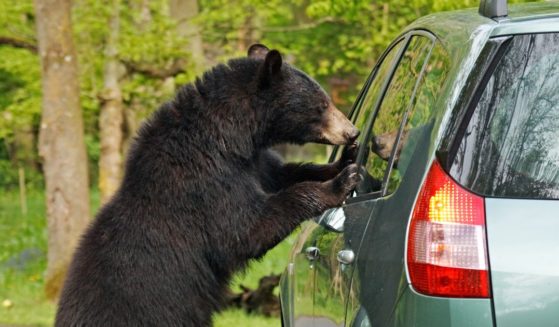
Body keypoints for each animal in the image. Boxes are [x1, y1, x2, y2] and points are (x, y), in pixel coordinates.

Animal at [57, 44, 360, 327]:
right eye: (322, 104)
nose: (352, 132)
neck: (230, 135)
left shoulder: (253, 162)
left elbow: (283, 173)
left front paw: (344, 161)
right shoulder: (204, 179)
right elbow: (244, 229)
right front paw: (340, 183)